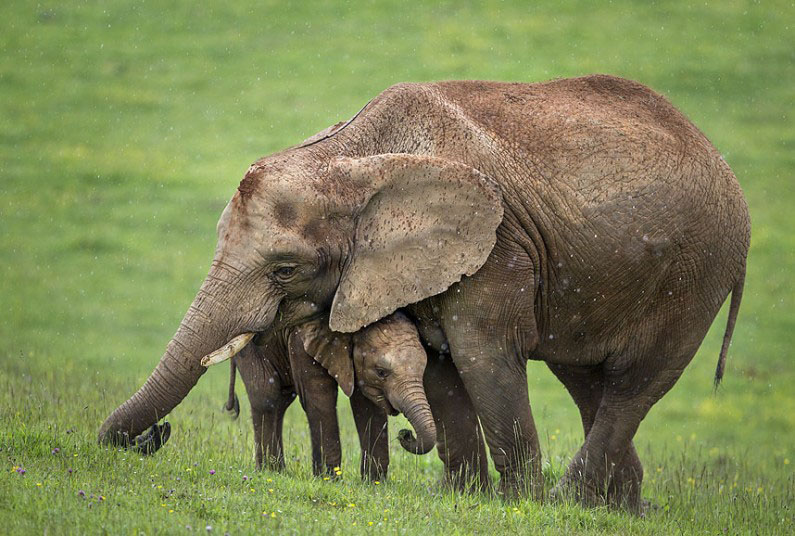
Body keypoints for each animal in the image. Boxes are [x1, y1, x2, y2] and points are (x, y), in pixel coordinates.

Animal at [96, 74, 748, 506]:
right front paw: (465, 500)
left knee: (634, 386)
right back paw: (614, 511)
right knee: (588, 379)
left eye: (284, 270)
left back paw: (565, 503)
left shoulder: (492, 249)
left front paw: (514, 507)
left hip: (697, 275)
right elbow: (438, 365)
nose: (152, 437)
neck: (356, 161)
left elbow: (484, 357)